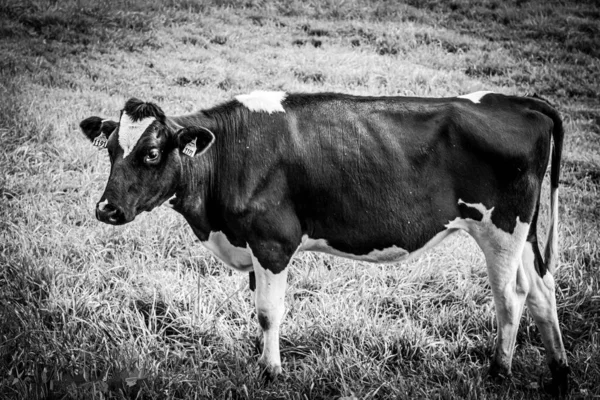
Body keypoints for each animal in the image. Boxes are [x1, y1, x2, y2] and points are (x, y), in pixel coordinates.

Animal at [81, 90, 572, 390]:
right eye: (112, 150)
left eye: (151, 153)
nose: (106, 209)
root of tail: (516, 101)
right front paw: (260, 358)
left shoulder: (273, 243)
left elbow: (268, 312)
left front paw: (271, 371)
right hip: (523, 231)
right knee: (542, 289)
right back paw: (559, 373)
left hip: (500, 227)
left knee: (511, 296)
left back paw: (499, 371)